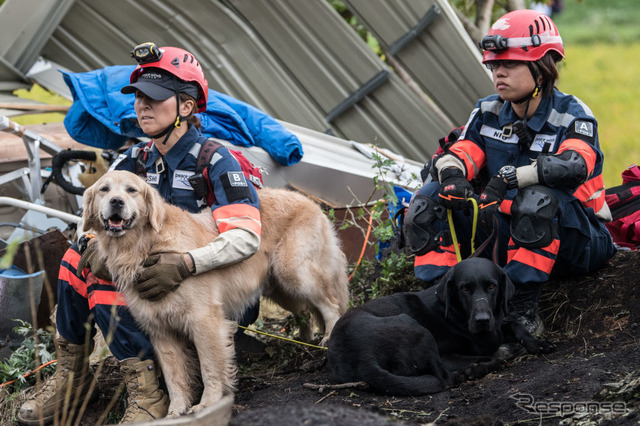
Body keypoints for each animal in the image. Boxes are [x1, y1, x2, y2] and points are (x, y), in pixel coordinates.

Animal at [328, 256, 552, 396]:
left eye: (491, 286)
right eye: (464, 288)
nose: (482, 320)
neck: (456, 314)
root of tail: (363, 359)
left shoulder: (494, 330)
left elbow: (512, 323)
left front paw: (537, 343)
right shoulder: (449, 353)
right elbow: (492, 356)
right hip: (413, 326)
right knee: (445, 378)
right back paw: (471, 371)